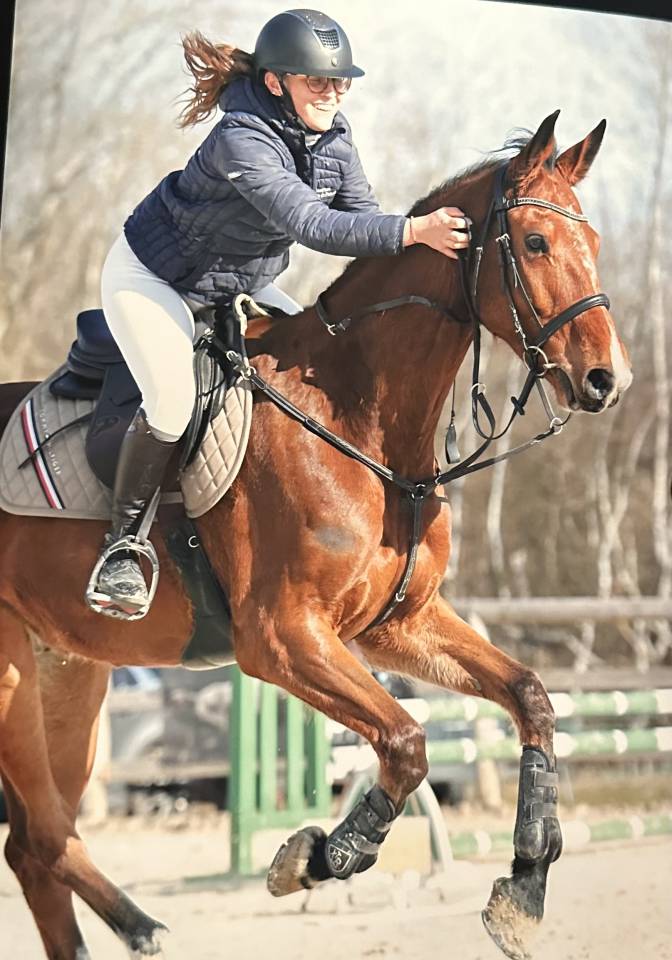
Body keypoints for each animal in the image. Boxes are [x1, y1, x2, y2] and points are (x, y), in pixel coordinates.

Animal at [0, 109, 631, 960]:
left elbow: (529, 696)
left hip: (68, 673)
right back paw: (147, 925)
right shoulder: (283, 638)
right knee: (42, 834)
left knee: (36, 843)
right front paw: (317, 856)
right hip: (15, 677)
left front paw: (524, 885)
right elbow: (405, 742)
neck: (359, 420)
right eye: (534, 243)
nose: (607, 380)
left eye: (590, 238)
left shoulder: (394, 625)